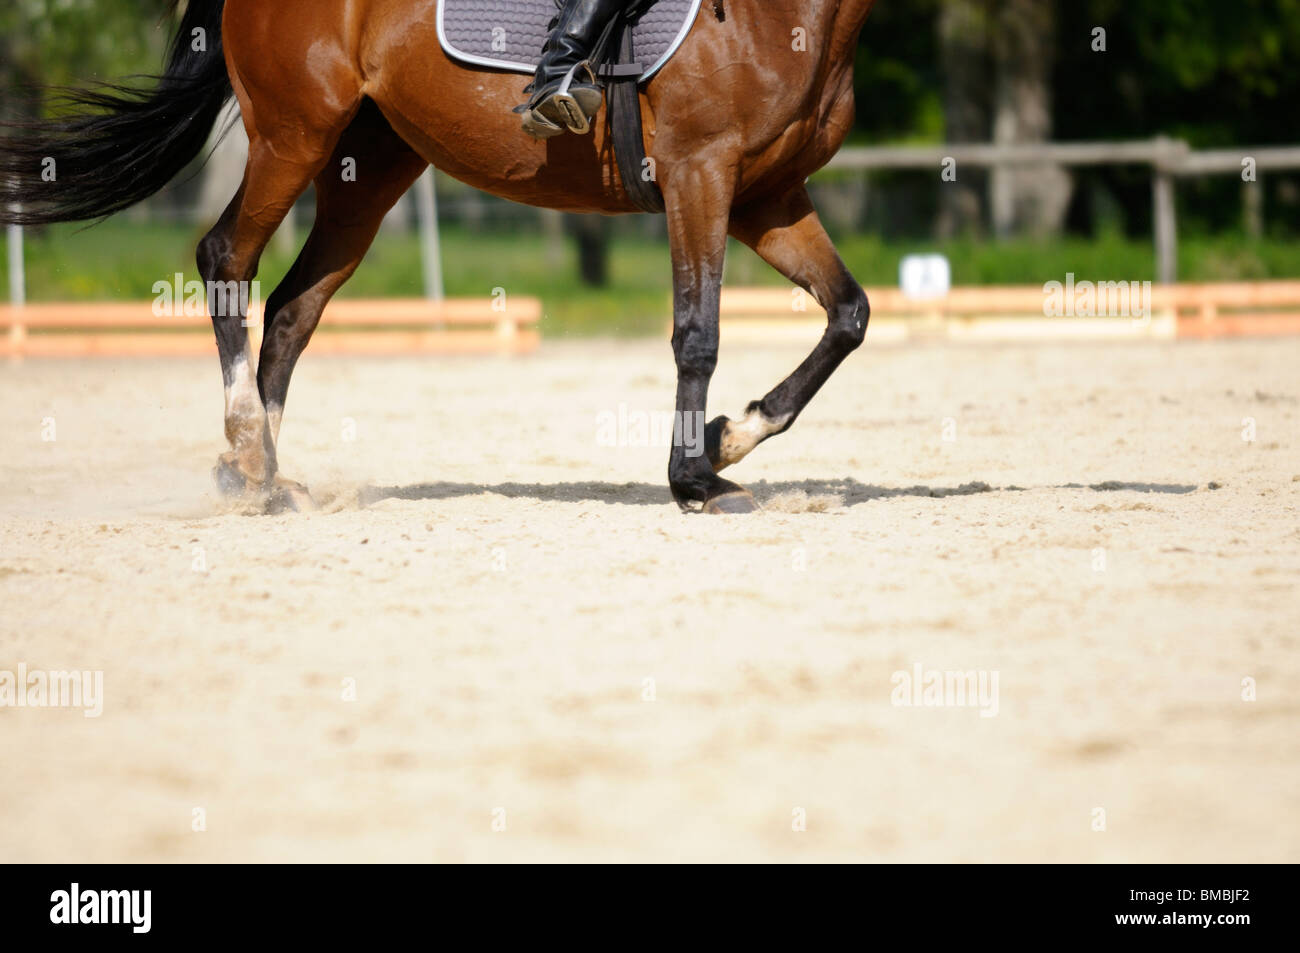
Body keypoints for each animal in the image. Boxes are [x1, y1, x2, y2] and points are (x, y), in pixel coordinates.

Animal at [2, 0, 873, 512]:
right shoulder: (701, 172)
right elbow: (697, 335)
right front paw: (695, 477)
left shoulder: (765, 195)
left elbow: (848, 315)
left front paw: (730, 438)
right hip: (292, 134)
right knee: (226, 260)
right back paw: (248, 446)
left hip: (370, 163)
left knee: (293, 308)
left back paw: (264, 475)